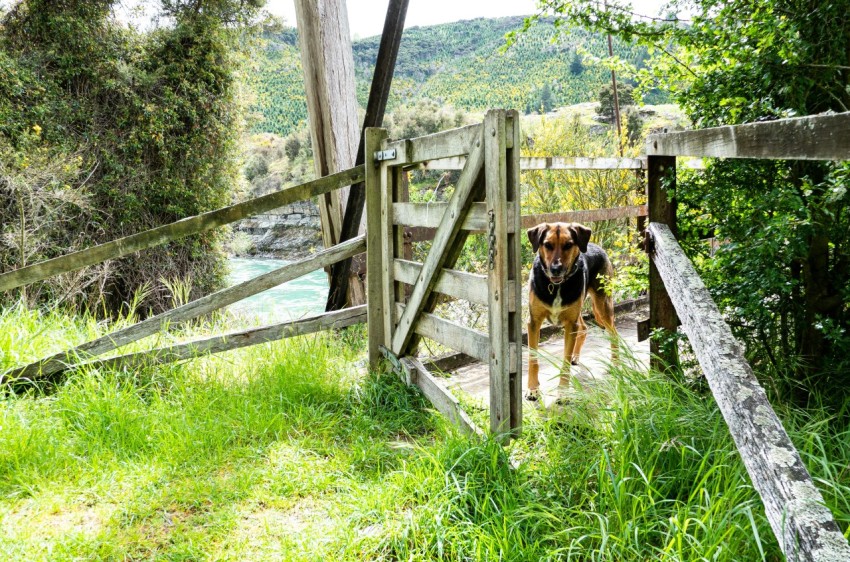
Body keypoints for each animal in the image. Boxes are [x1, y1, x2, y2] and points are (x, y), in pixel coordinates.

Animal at [524, 220, 616, 398]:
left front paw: (563, 392)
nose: (556, 269)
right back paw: (576, 356)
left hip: (603, 306)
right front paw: (532, 389)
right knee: (584, 327)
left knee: (614, 335)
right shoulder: (534, 322)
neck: (556, 286)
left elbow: (564, 361)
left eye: (568, 245)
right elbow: (533, 359)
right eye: (547, 245)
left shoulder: (570, 324)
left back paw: (617, 363)